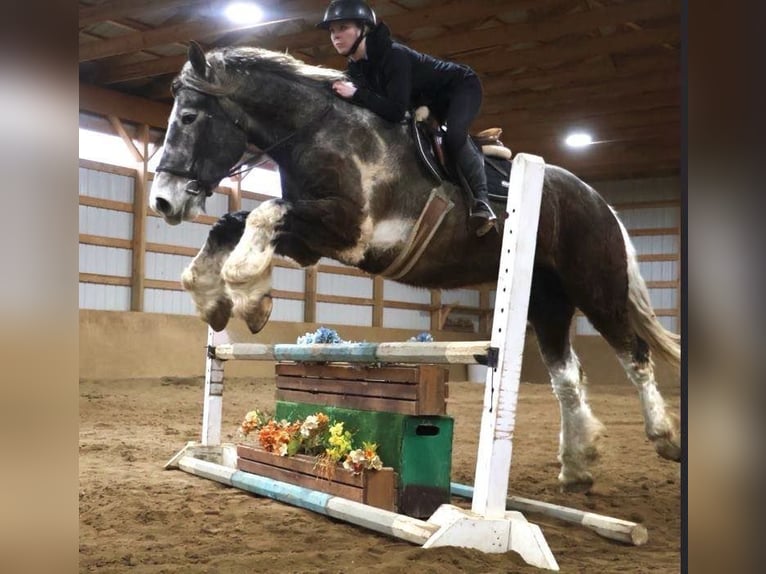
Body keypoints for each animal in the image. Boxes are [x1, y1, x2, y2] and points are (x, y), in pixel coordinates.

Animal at [149, 42, 681, 491]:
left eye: (190, 117)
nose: (163, 201)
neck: (321, 134)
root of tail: (599, 202)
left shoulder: (348, 232)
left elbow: (262, 214)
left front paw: (248, 298)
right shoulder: (310, 241)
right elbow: (232, 225)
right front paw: (213, 298)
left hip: (595, 286)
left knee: (635, 354)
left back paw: (663, 438)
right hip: (546, 301)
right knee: (567, 377)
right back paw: (577, 468)